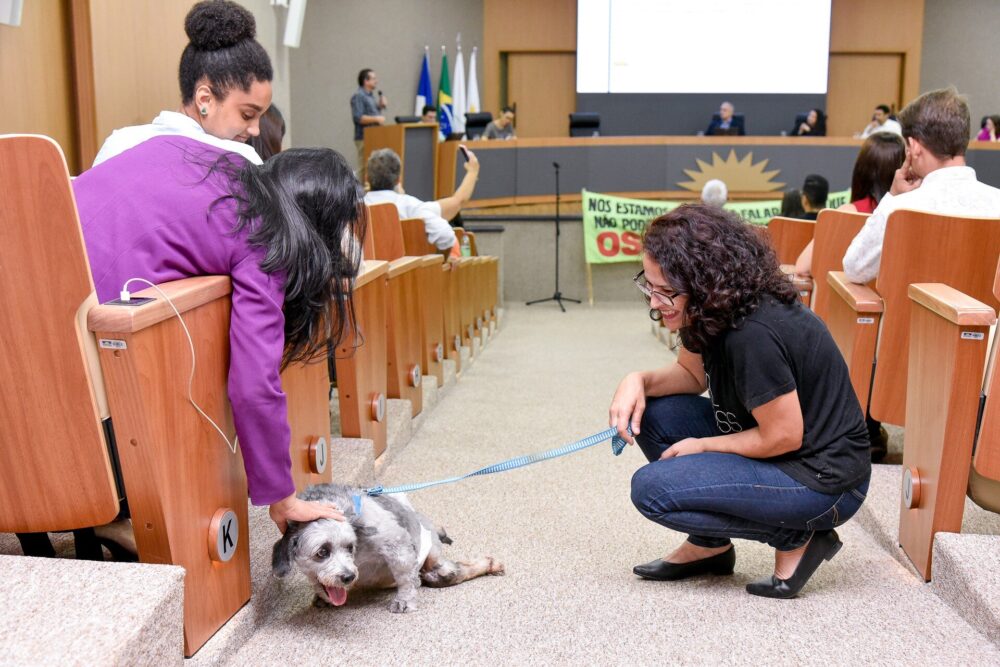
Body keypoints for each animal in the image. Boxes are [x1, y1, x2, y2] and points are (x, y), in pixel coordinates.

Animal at [270, 482, 504, 612]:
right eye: (322, 552)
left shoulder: (396, 543)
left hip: (435, 563)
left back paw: (491, 564)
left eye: (349, 547)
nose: (348, 577)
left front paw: (404, 601)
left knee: (453, 572)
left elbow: (405, 578)